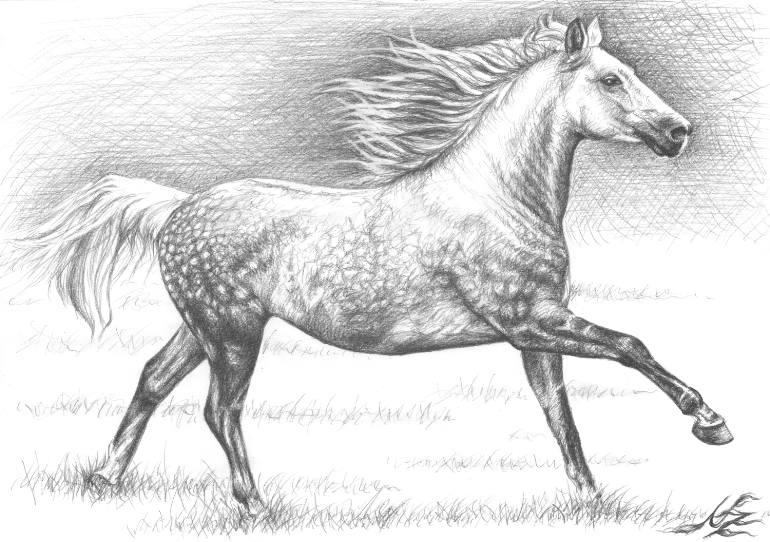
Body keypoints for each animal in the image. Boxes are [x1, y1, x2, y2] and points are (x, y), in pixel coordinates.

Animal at [19, 15, 732, 514]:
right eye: (611, 79)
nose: (678, 133)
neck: (499, 194)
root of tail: (175, 208)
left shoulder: (536, 333)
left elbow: (560, 413)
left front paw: (588, 498)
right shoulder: (529, 320)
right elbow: (631, 345)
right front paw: (710, 422)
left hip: (202, 328)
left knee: (152, 380)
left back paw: (105, 478)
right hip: (233, 332)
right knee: (219, 410)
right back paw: (256, 504)